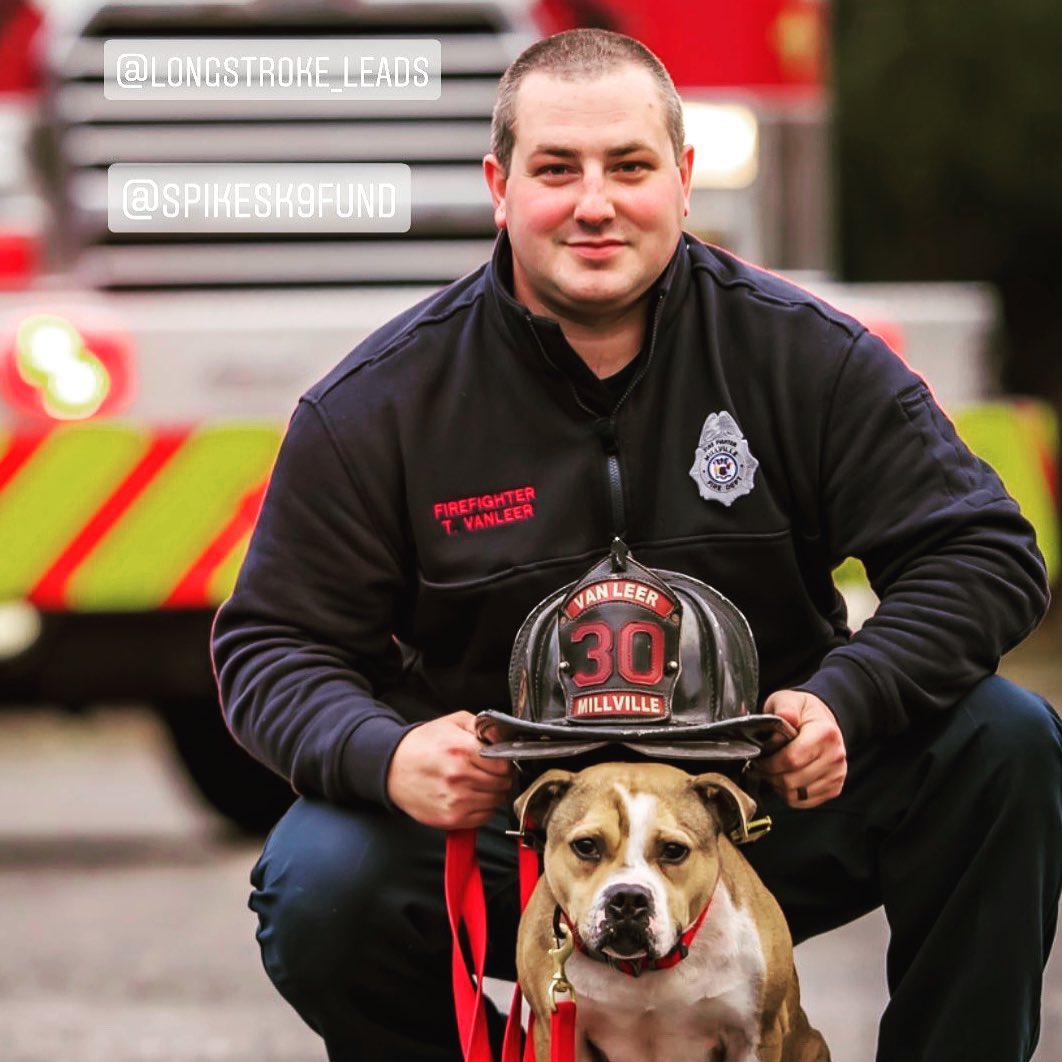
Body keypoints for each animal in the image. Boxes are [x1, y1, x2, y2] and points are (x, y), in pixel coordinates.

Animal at [514, 764, 828, 1062]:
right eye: (586, 846)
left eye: (674, 850)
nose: (628, 898)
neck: (643, 967)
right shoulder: (557, 1032)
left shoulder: (755, 1036)